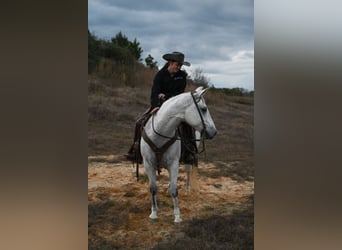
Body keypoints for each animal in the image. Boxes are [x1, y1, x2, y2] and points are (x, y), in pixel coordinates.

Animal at [140, 86, 216, 223]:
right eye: (204, 109)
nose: (214, 131)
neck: (160, 133)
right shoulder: (148, 164)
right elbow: (153, 188)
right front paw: (154, 213)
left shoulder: (173, 164)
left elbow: (174, 190)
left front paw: (177, 216)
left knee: (188, 171)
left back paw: (187, 189)